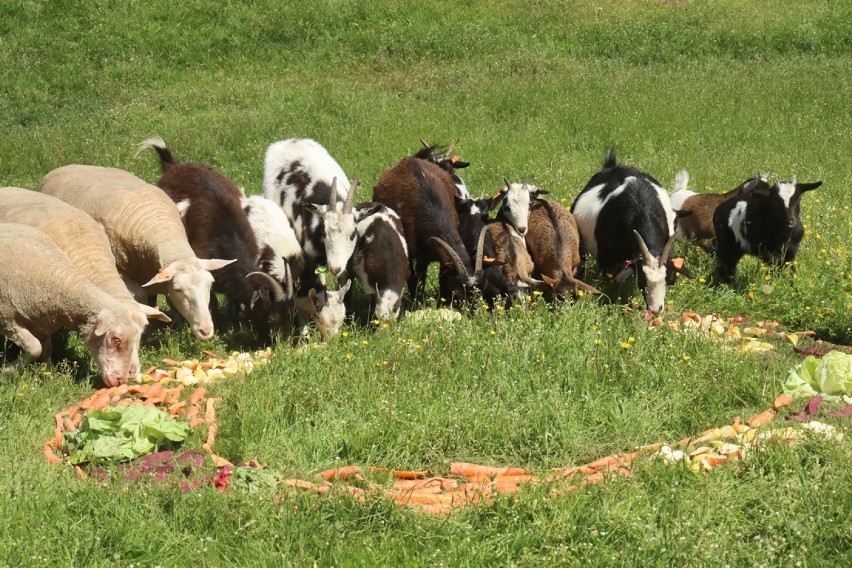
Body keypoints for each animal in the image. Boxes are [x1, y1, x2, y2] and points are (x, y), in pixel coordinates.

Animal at [39, 164, 233, 342]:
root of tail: (61, 168)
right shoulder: (121, 272)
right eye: (179, 289)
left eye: (210, 284)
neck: (163, 231)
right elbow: (141, 296)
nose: (206, 331)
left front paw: (176, 325)